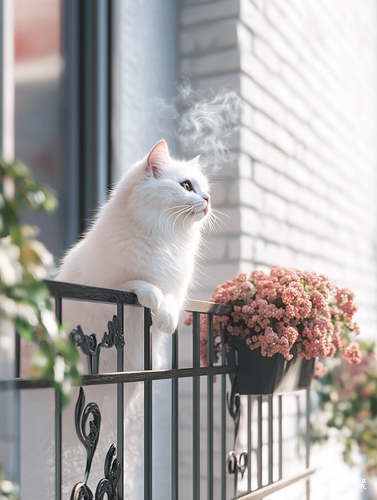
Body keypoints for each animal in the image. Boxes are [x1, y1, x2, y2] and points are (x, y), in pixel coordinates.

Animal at [53, 140, 210, 500]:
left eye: (204, 189)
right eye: (186, 186)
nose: (208, 200)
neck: (166, 240)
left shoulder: (177, 286)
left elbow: (170, 302)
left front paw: (165, 318)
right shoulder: (109, 284)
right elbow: (137, 284)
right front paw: (151, 297)